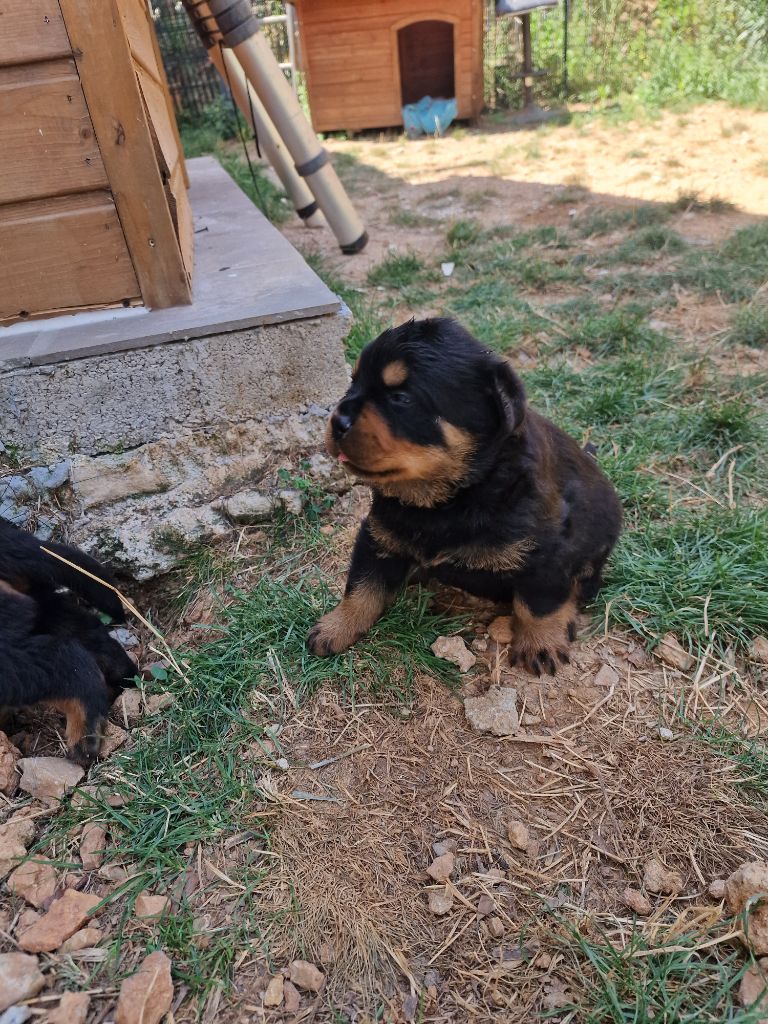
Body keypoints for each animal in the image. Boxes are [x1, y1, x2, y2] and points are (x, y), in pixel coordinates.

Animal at [307, 318, 622, 675]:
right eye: (353, 382)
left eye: (401, 398)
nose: (337, 420)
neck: (448, 499)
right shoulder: (378, 534)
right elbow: (361, 585)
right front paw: (335, 627)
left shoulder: (549, 551)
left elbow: (539, 603)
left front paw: (539, 643)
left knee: (581, 585)